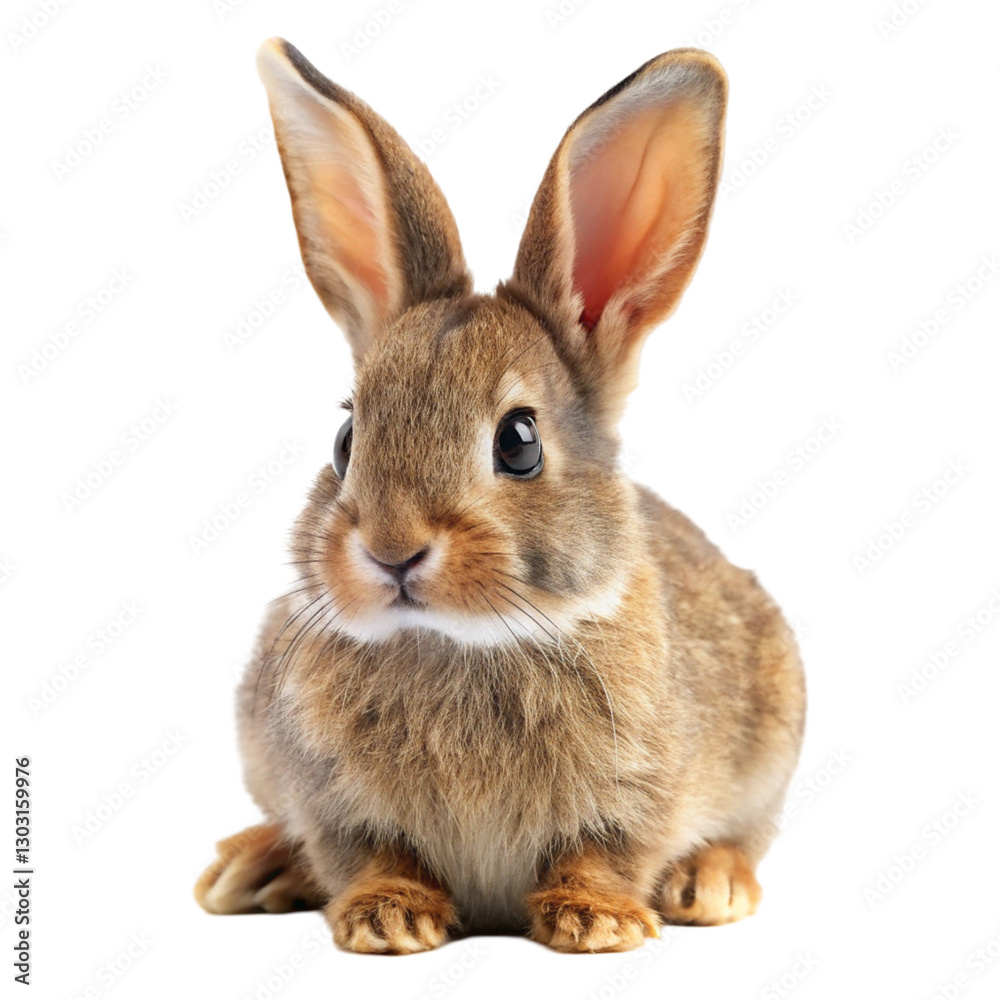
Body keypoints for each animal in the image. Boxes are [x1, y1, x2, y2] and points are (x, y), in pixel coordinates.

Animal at [194, 37, 806, 955]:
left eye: (518, 442)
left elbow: (607, 852)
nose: (392, 550)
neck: (462, 642)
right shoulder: (331, 797)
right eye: (346, 442)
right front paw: (387, 918)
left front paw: (597, 921)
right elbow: (370, 853)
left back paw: (712, 885)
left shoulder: (642, 793)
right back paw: (251, 868)